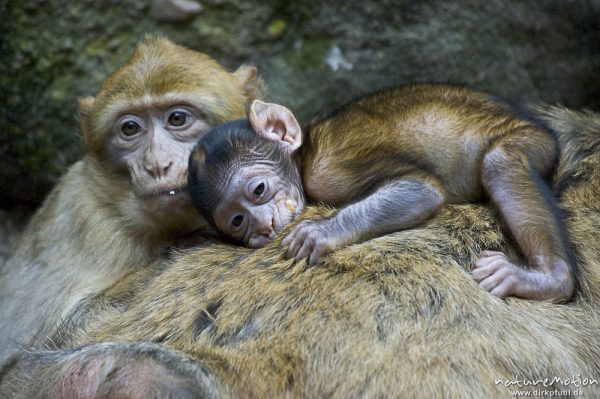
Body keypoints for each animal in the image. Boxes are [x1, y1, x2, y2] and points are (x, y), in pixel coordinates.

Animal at [190, 85, 576, 304]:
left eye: (258, 190)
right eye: (237, 221)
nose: (263, 227)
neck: (303, 155)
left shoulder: (330, 169)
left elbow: (421, 190)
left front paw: (320, 232)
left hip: (531, 141)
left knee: (502, 161)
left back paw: (549, 279)